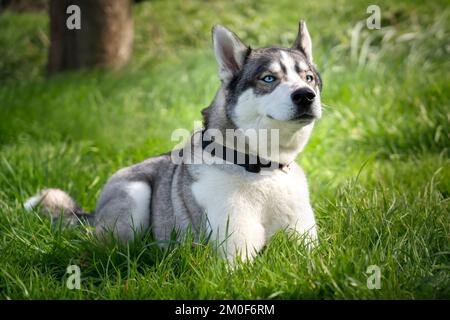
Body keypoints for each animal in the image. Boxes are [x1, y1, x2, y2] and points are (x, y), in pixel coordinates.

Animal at [24, 20, 322, 262]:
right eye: (269, 78)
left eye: (308, 78)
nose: (305, 96)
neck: (262, 169)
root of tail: (94, 213)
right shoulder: (233, 256)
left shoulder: (306, 243)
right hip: (135, 195)